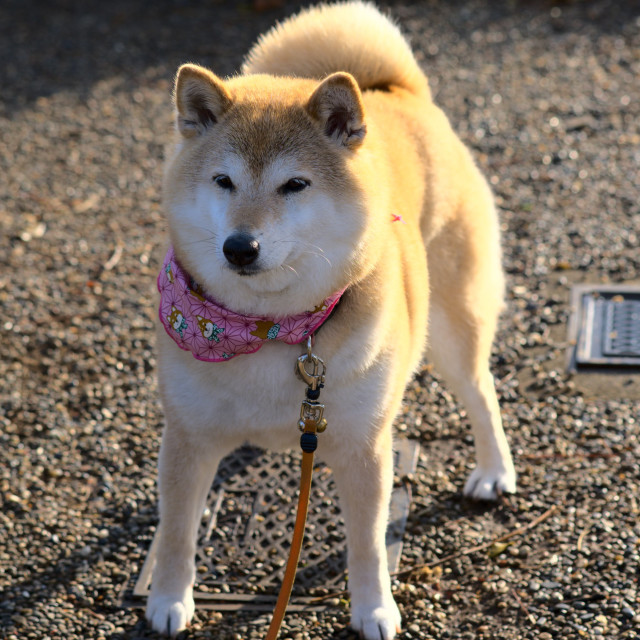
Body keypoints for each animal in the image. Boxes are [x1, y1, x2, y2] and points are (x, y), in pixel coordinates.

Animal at [145, 2, 516, 636]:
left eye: (295, 185)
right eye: (223, 181)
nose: (239, 247)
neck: (270, 329)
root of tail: (394, 91)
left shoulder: (363, 446)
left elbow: (367, 545)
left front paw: (373, 608)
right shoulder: (187, 437)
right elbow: (176, 534)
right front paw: (169, 599)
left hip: (452, 328)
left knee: (480, 391)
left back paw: (494, 471)